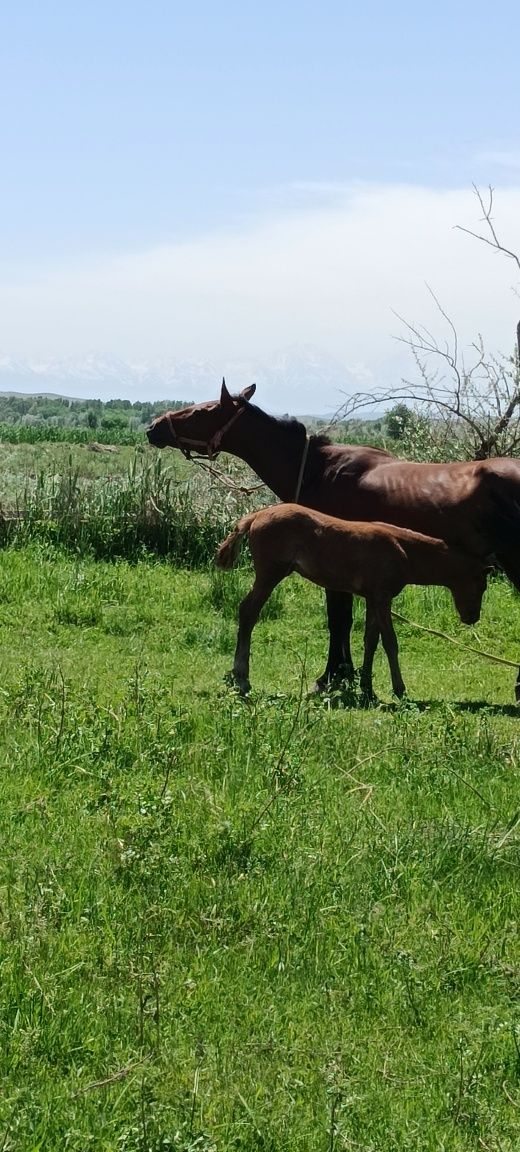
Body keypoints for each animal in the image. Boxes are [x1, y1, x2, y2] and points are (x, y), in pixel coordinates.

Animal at [214, 502, 488, 695]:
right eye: (482, 586)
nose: (472, 617)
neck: (403, 550)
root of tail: (255, 516)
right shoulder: (382, 598)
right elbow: (390, 642)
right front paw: (399, 689)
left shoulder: (372, 599)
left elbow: (371, 640)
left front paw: (367, 687)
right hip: (270, 574)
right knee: (248, 611)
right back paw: (242, 677)